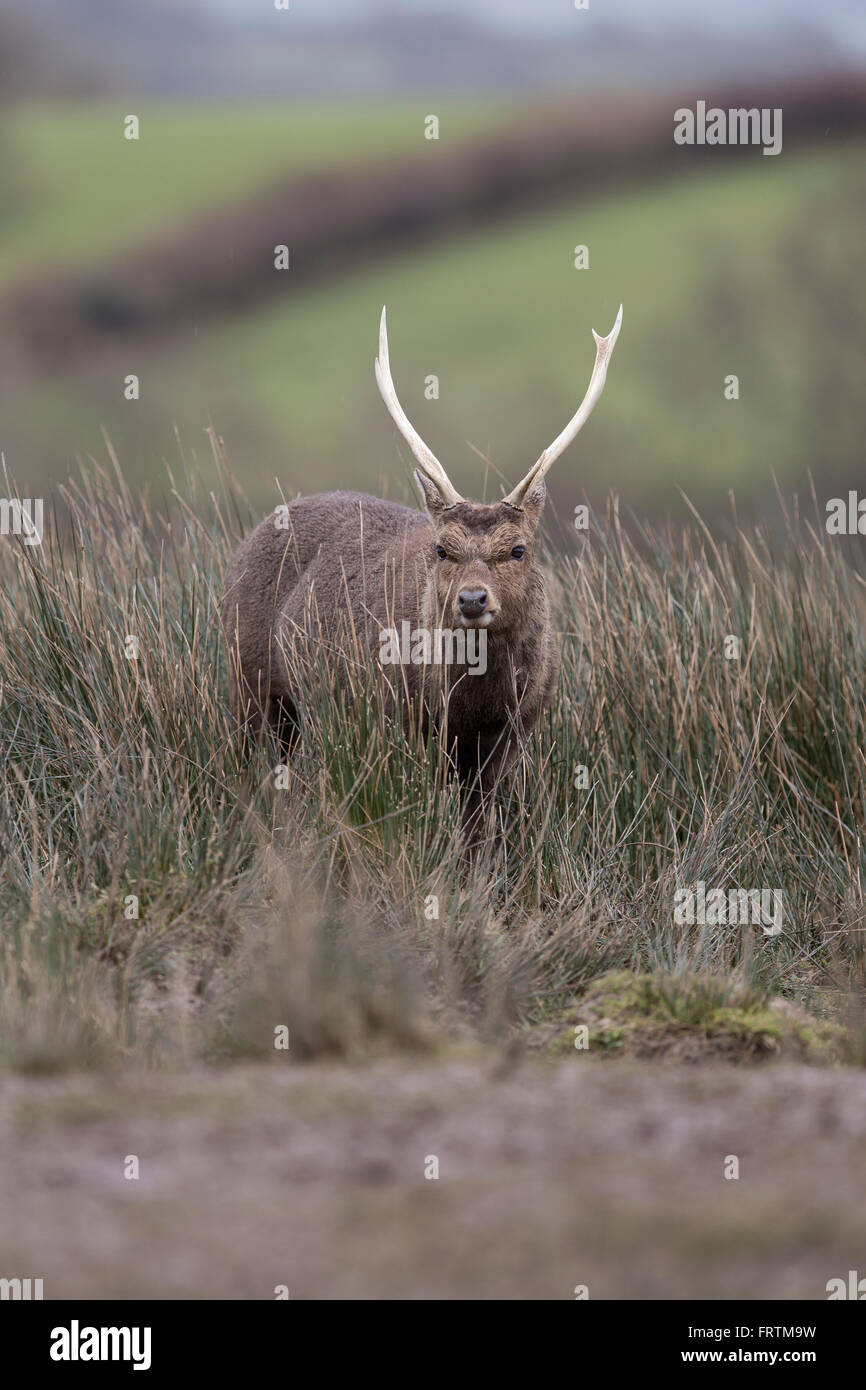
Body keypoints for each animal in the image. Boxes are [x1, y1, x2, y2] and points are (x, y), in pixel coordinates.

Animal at [222, 304, 622, 836]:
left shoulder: (513, 733)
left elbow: (479, 829)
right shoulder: (397, 718)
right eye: (441, 549)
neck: (472, 707)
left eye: (519, 549)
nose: (472, 599)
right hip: (249, 681)